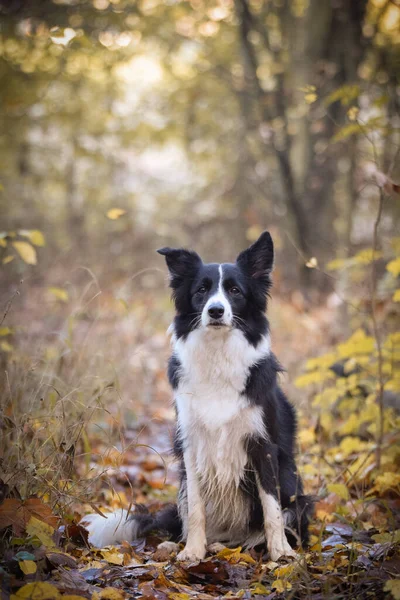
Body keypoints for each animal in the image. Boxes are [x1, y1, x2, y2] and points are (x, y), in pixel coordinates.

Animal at [82, 232, 312, 560]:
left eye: (235, 291)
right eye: (202, 290)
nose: (216, 310)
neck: (218, 354)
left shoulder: (263, 445)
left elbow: (272, 507)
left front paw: (281, 552)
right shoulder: (192, 443)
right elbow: (195, 509)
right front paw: (192, 551)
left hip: (297, 491)